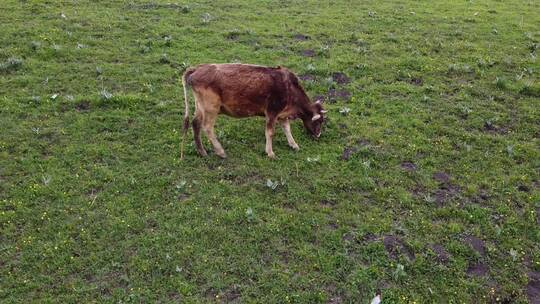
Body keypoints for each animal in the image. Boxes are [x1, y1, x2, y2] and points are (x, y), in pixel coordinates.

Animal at [180, 64, 324, 159]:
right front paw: (270, 153)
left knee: (195, 124)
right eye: (318, 122)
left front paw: (294, 145)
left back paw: (202, 152)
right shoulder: (272, 112)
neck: (289, 87)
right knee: (207, 127)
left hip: (200, 107)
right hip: (211, 108)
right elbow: (270, 132)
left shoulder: (282, 114)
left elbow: (287, 129)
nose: (318, 135)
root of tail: (197, 69)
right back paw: (220, 151)